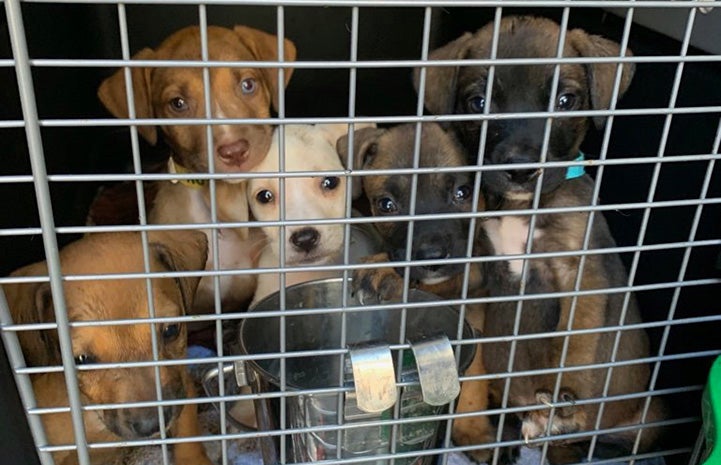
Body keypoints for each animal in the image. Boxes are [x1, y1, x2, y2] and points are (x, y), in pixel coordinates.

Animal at [336, 121, 496, 462]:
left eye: (462, 193)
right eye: (387, 205)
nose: (432, 257)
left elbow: (475, 377)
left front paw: (473, 430)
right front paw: (385, 269)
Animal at [414, 16, 668, 462]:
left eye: (565, 101)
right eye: (478, 102)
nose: (520, 169)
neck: (522, 207)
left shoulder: (580, 274)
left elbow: (575, 339)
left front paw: (566, 396)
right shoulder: (481, 266)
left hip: (648, 418)